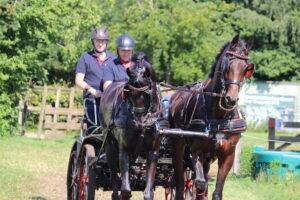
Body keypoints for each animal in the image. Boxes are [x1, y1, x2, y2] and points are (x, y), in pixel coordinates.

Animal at [101, 53, 162, 200]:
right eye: (128, 92)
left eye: (147, 93)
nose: (138, 123)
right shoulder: (124, 149)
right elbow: (126, 190)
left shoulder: (153, 152)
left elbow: (148, 192)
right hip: (109, 145)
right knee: (113, 173)